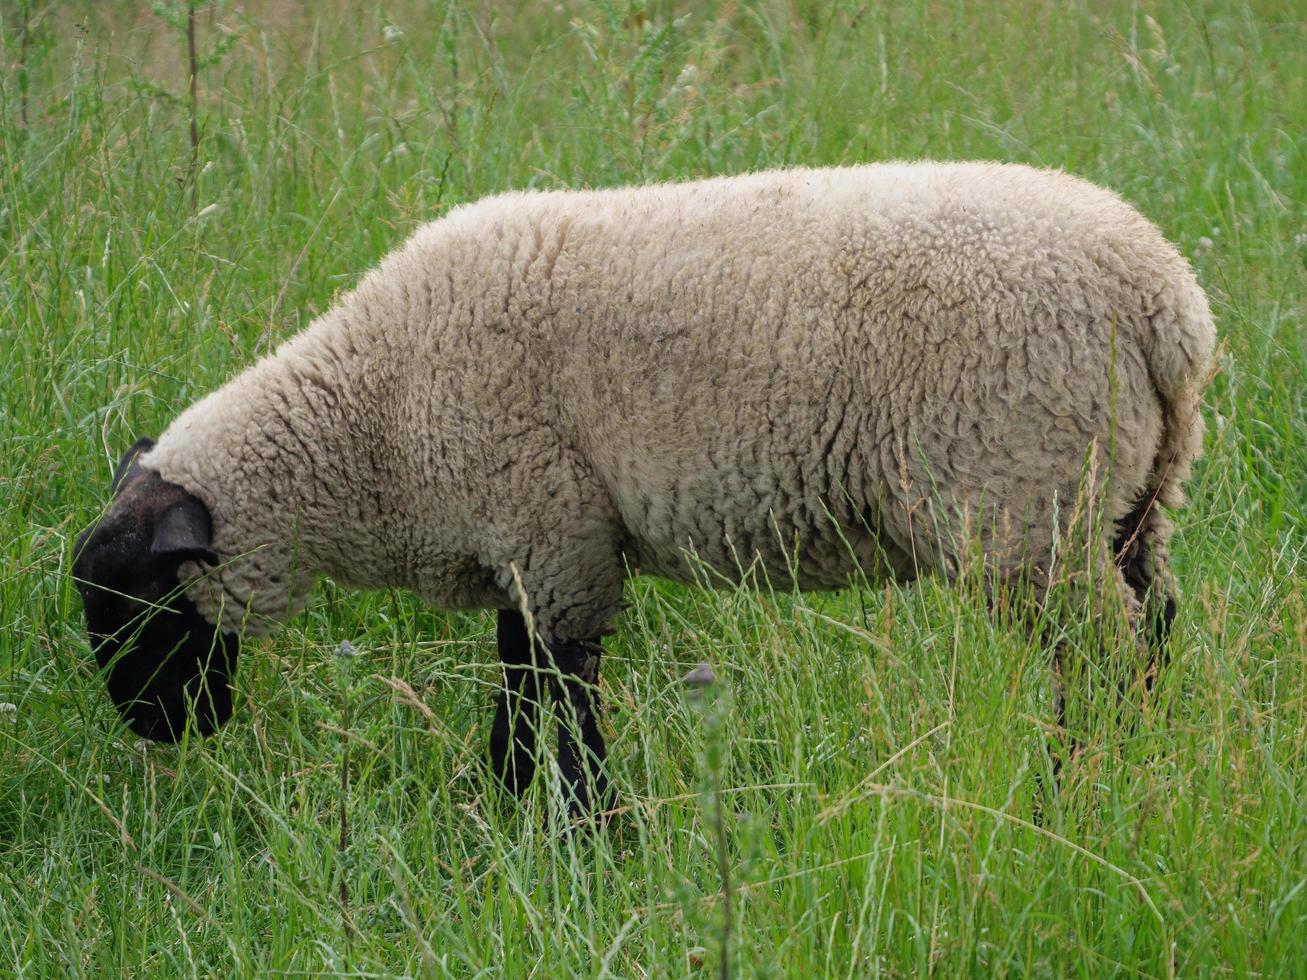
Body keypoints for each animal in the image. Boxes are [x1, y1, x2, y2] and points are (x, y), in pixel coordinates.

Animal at [71, 165, 1212, 815]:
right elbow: (520, 689)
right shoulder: (532, 543)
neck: (368, 417)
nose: (159, 733)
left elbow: (566, 702)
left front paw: (587, 837)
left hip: (1021, 505)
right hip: (1128, 496)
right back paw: (1148, 773)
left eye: (136, 606)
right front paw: (496, 817)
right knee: (1154, 625)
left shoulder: (550, 532)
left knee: (1100, 661)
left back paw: (1073, 798)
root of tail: (1162, 299)